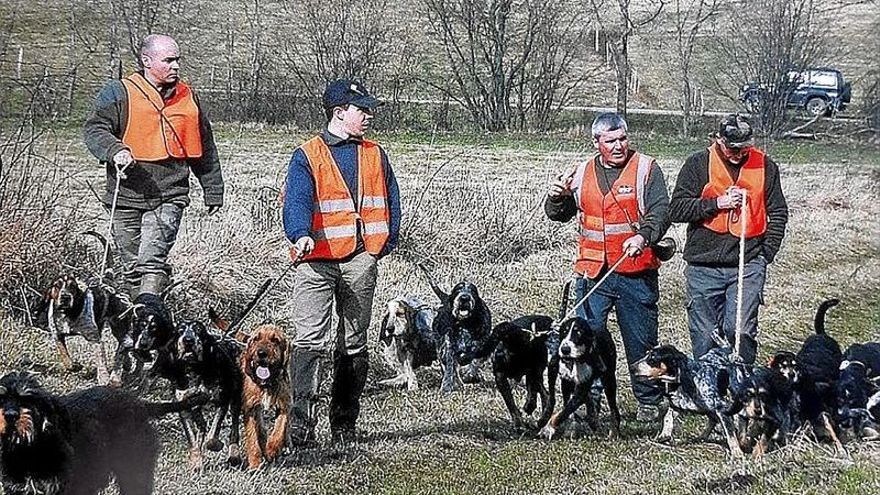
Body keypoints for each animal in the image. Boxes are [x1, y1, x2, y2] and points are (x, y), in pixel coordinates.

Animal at [0, 372, 208, 495]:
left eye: (27, 399)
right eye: (1, 398)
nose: (10, 415)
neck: (27, 448)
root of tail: (140, 405)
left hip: (134, 470)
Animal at [150, 316, 242, 470]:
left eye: (198, 330)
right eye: (180, 330)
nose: (188, 340)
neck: (194, 369)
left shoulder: (221, 399)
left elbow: (214, 430)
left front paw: (215, 445)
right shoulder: (184, 407)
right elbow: (192, 437)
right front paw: (195, 461)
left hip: (236, 397)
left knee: (234, 427)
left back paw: (234, 455)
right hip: (196, 408)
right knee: (202, 425)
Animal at [239, 324, 290, 470]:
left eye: (275, 340)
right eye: (256, 339)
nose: (261, 354)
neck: (266, 383)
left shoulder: (284, 407)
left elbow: (279, 431)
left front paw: (271, 450)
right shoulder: (250, 409)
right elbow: (252, 438)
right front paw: (255, 464)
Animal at [418, 266, 492, 394]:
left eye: (472, 291)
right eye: (458, 290)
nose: (464, 297)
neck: (465, 323)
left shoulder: (481, 342)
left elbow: (475, 358)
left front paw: (470, 374)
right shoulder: (449, 346)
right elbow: (450, 367)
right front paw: (447, 387)